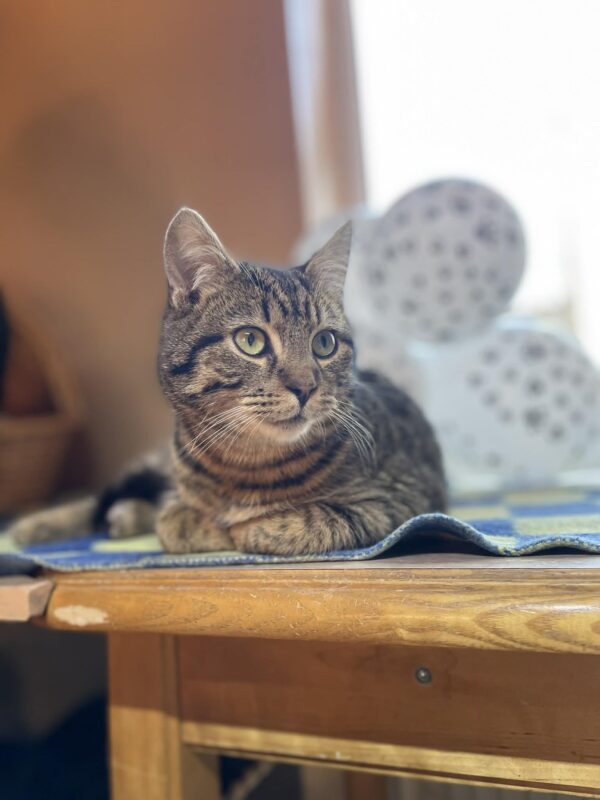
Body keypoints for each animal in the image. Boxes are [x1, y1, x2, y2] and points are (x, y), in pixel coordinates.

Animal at [9, 208, 446, 556]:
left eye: (324, 343)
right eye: (250, 340)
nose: (305, 387)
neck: (245, 463)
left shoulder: (408, 497)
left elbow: (317, 519)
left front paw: (248, 527)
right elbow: (174, 521)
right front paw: (204, 524)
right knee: (105, 496)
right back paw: (35, 524)